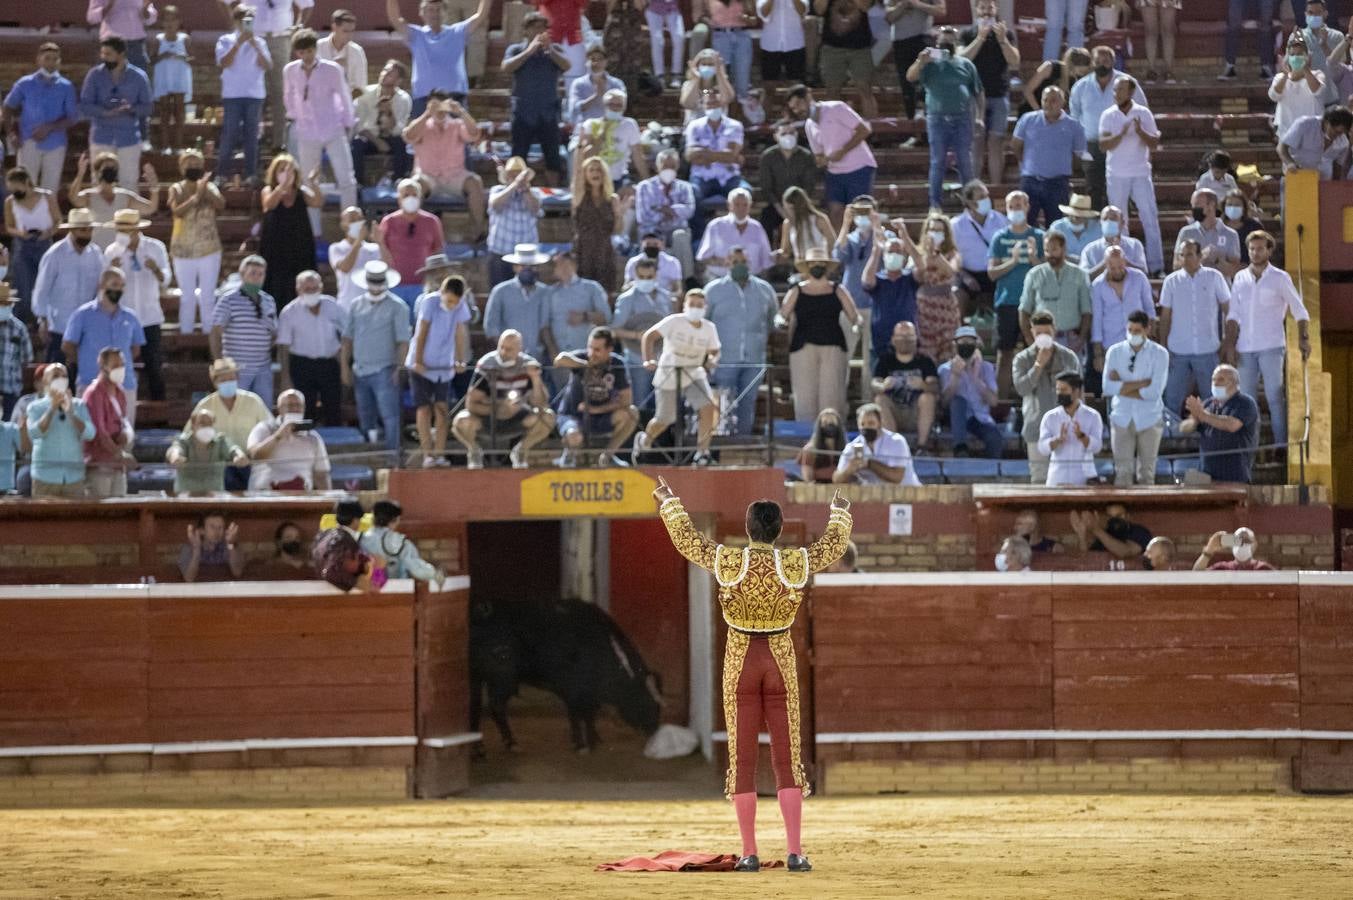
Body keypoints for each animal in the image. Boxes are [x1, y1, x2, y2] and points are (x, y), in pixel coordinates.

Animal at [470, 595, 665, 752]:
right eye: (646, 701)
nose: (653, 730)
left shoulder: (586, 693)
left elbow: (588, 715)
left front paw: (593, 739)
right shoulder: (574, 690)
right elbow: (577, 714)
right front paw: (582, 744)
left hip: (477, 679)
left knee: (475, 707)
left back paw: (479, 749)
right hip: (501, 679)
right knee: (496, 707)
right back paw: (510, 743)